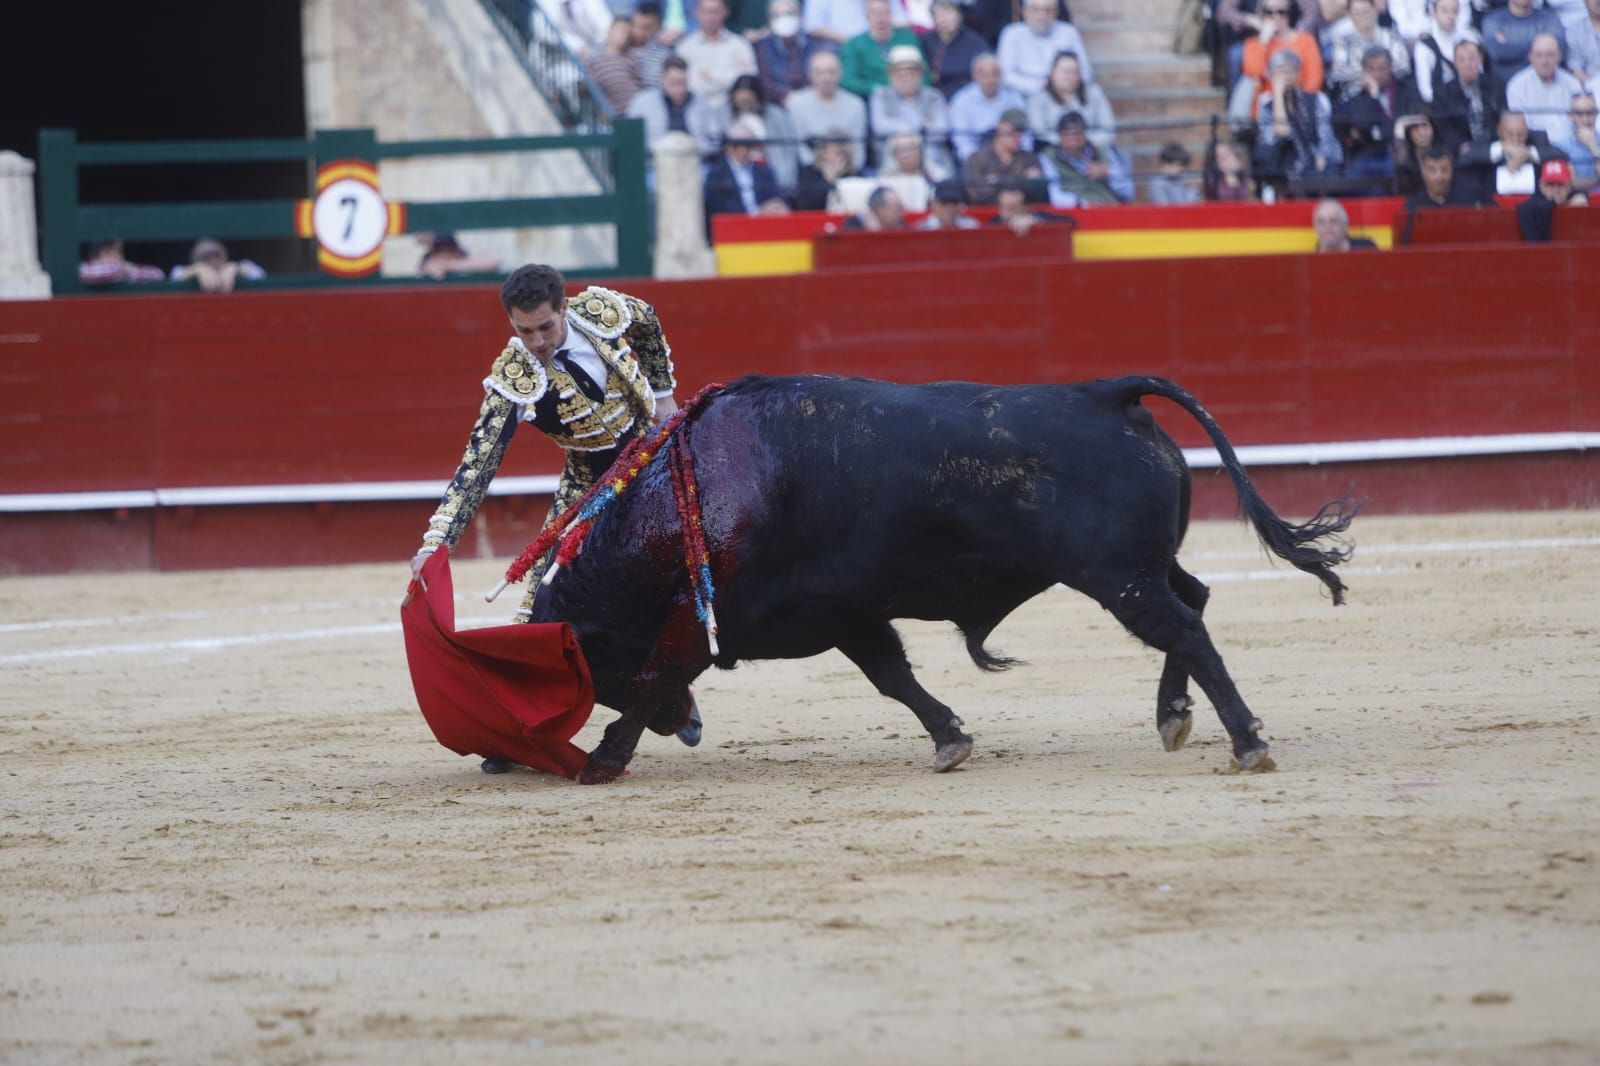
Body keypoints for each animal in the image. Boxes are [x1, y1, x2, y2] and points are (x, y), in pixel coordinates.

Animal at [531, 372, 1356, 781]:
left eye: (591, 665)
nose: (690, 728)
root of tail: (1102, 392)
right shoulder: (845, 614)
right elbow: (893, 676)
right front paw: (951, 739)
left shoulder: (702, 621)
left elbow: (655, 673)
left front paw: (603, 759)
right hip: (1144, 567)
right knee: (1195, 604)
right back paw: (1174, 717)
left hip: (1117, 576)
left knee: (1182, 627)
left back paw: (1245, 742)